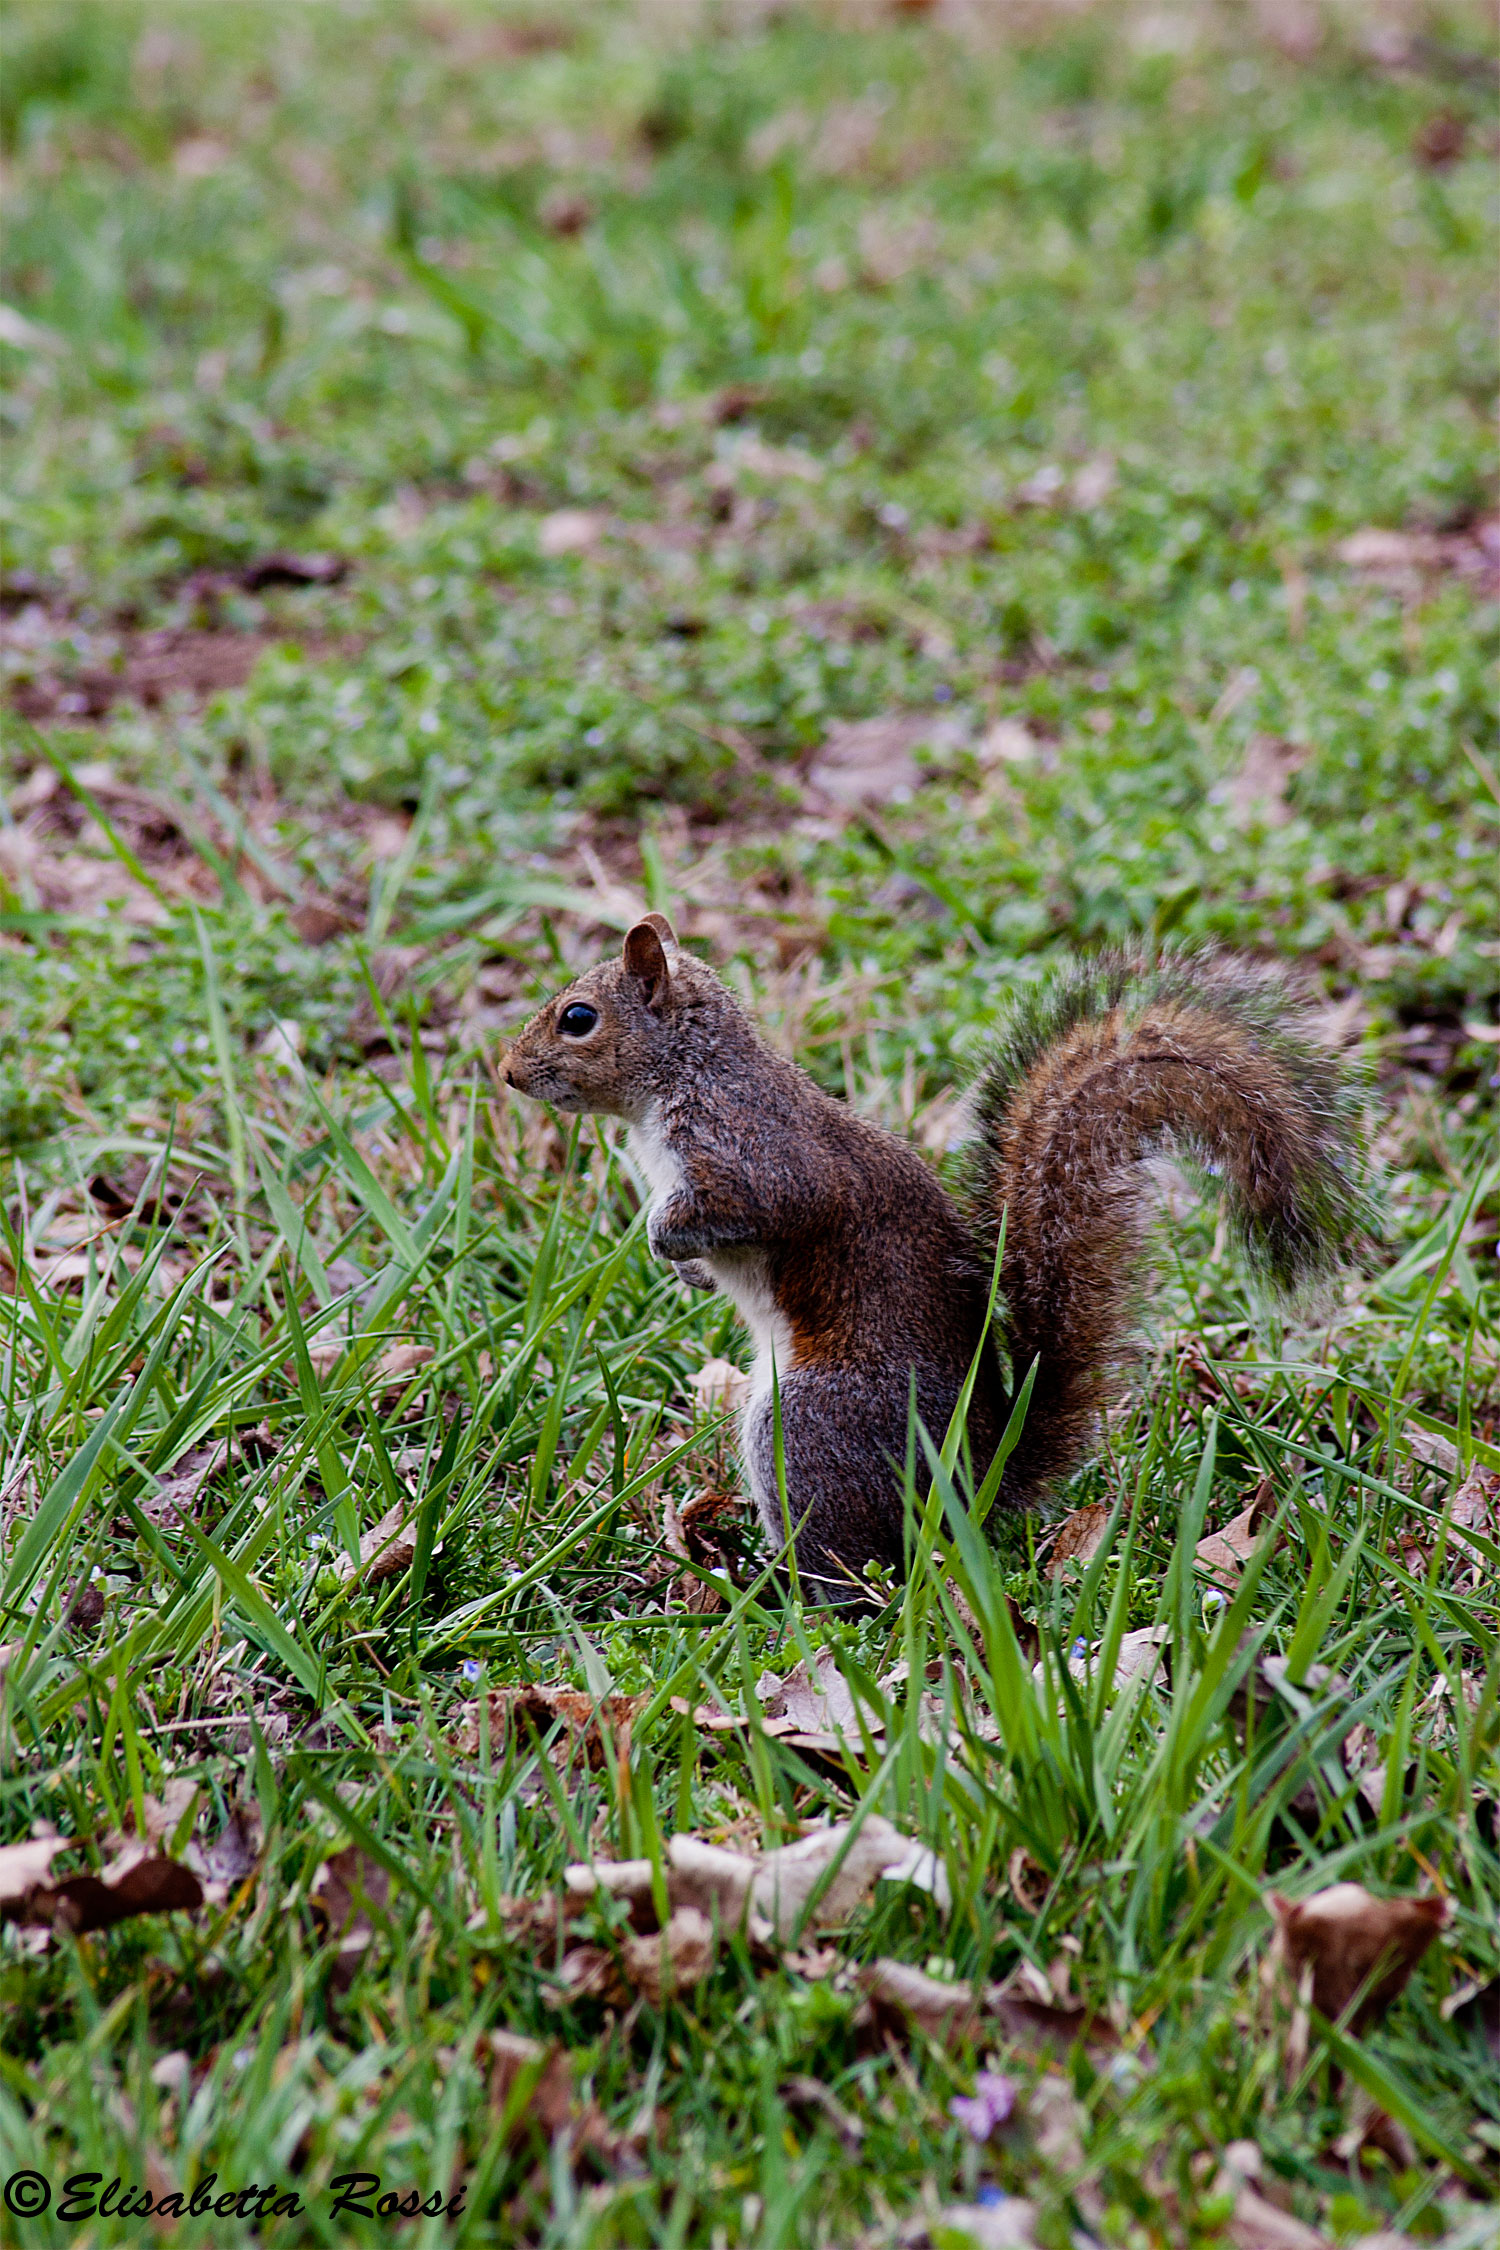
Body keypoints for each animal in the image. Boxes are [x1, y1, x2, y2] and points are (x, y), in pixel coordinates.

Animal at [504, 915, 1364, 1603]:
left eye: (577, 1018)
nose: (507, 1074)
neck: (683, 1075)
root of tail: (973, 1482)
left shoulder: (751, 1153)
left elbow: (753, 1206)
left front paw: (664, 1243)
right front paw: (682, 1268)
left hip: (809, 1425)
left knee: (849, 1570)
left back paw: (778, 1591)